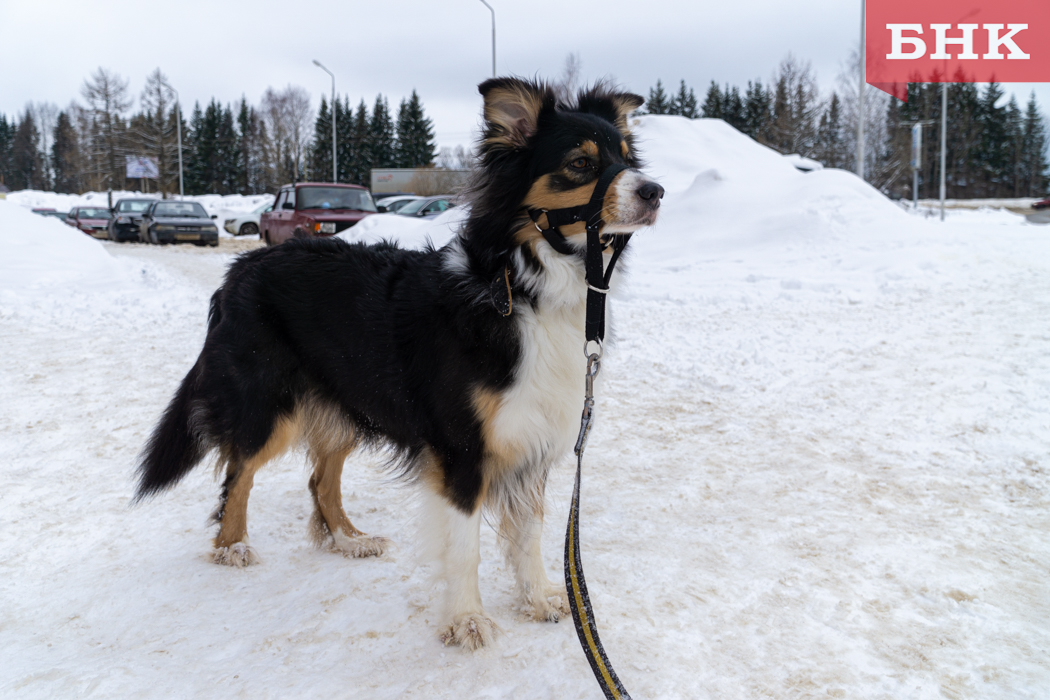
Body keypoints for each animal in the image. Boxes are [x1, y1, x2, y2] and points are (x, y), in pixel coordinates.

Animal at [137, 78, 663, 650]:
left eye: (627, 158)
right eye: (581, 163)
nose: (655, 191)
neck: (521, 288)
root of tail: (240, 266)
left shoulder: (532, 437)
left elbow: (529, 532)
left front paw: (540, 597)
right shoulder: (463, 449)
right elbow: (466, 547)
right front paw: (466, 619)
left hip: (345, 399)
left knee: (319, 480)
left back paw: (349, 540)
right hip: (268, 402)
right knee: (238, 472)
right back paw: (232, 546)